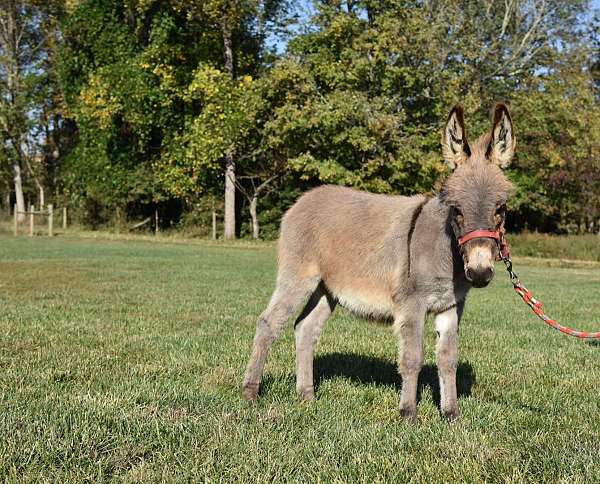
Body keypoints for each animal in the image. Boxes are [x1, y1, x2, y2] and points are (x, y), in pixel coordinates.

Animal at [241, 104, 512, 422]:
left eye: (501, 209)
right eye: (456, 210)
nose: (480, 273)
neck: (446, 250)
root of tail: (302, 200)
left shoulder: (450, 305)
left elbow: (448, 359)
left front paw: (451, 414)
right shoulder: (412, 303)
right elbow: (412, 358)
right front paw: (408, 414)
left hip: (327, 288)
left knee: (305, 328)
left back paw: (307, 396)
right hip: (298, 277)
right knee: (269, 323)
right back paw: (250, 393)